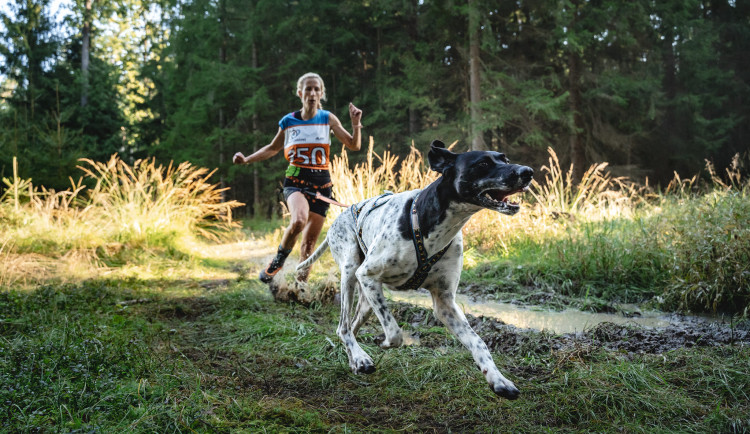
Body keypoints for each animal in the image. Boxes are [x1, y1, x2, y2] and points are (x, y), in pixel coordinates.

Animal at [296, 141, 532, 398]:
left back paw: (356, 359)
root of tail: (343, 212)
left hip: (367, 297)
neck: (435, 226)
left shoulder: (445, 302)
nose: (527, 171)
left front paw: (498, 380)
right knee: (343, 327)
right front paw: (384, 343)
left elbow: (478, 342)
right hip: (351, 272)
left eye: (505, 159)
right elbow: (394, 332)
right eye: (483, 163)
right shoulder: (368, 274)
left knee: (351, 326)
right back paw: (360, 357)